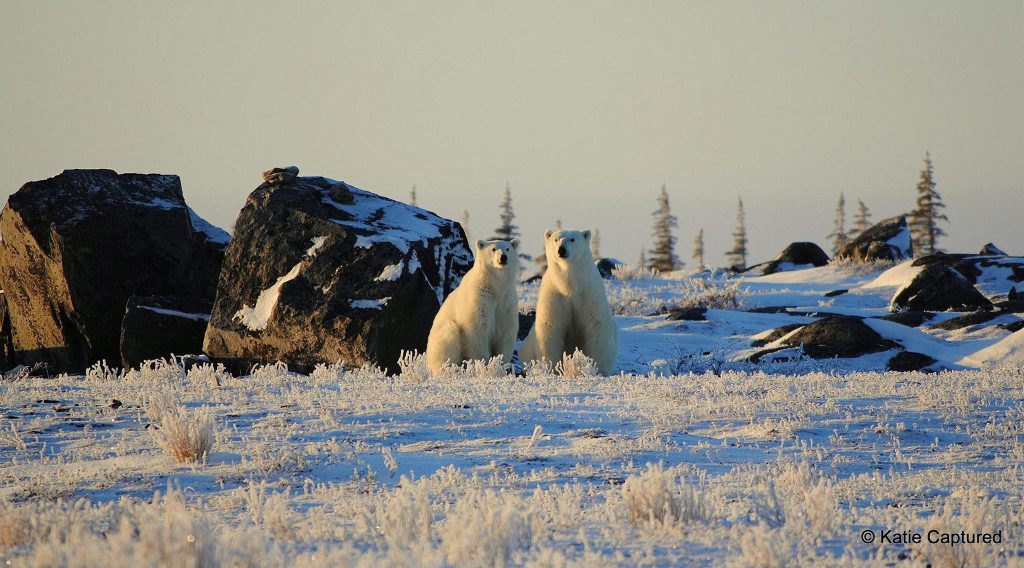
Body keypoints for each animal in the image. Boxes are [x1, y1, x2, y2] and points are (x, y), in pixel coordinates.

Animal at [425, 238, 520, 376]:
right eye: (493, 249)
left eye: (508, 249)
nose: (503, 257)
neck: (495, 287)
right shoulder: (479, 299)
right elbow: (477, 330)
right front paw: (485, 364)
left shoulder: (507, 301)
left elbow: (506, 332)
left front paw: (501, 365)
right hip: (441, 336)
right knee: (448, 339)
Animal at [520, 229, 619, 375]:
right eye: (556, 239)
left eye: (572, 239)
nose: (561, 250)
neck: (570, 286)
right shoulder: (555, 293)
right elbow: (550, 325)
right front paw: (552, 368)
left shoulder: (589, 293)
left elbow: (596, 324)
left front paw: (595, 368)